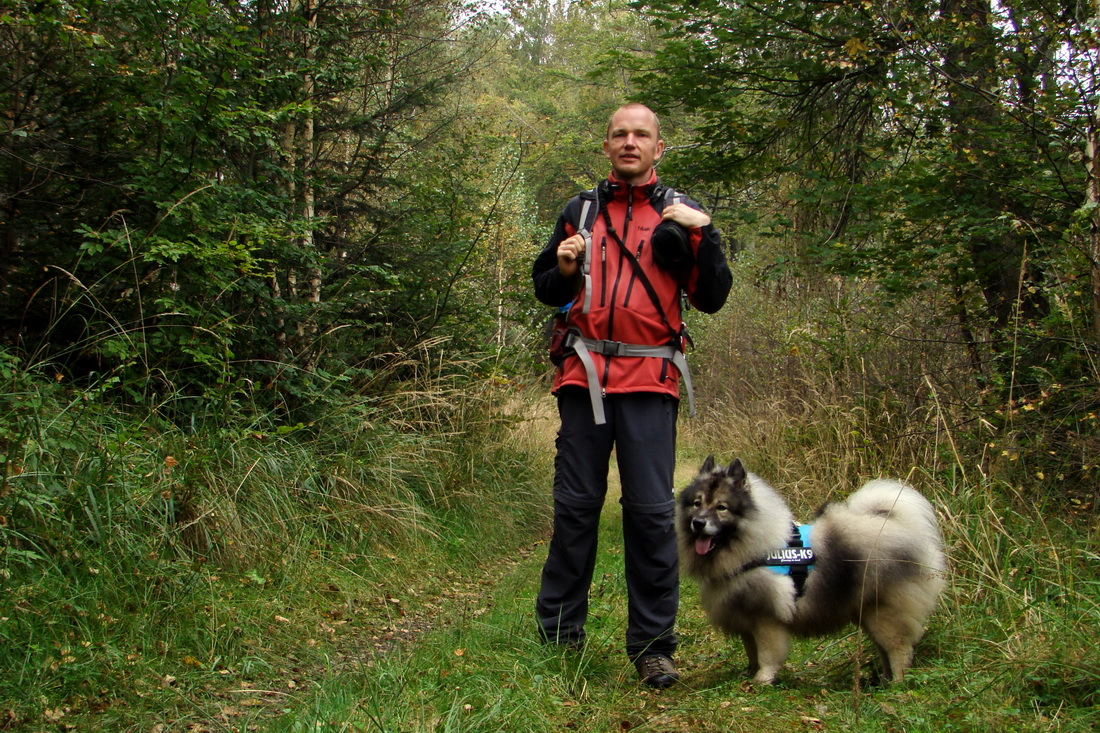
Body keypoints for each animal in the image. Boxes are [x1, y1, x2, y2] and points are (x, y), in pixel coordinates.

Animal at [677, 453, 946, 682]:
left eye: (721, 507)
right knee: (885, 649)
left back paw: (896, 684)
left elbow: (767, 654)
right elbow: (751, 651)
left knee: (899, 649)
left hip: (885, 613)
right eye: (697, 503)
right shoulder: (745, 619)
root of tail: (902, 527)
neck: (752, 545)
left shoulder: (767, 620)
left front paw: (762, 679)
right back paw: (883, 679)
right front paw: (749, 674)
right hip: (870, 615)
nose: (698, 523)